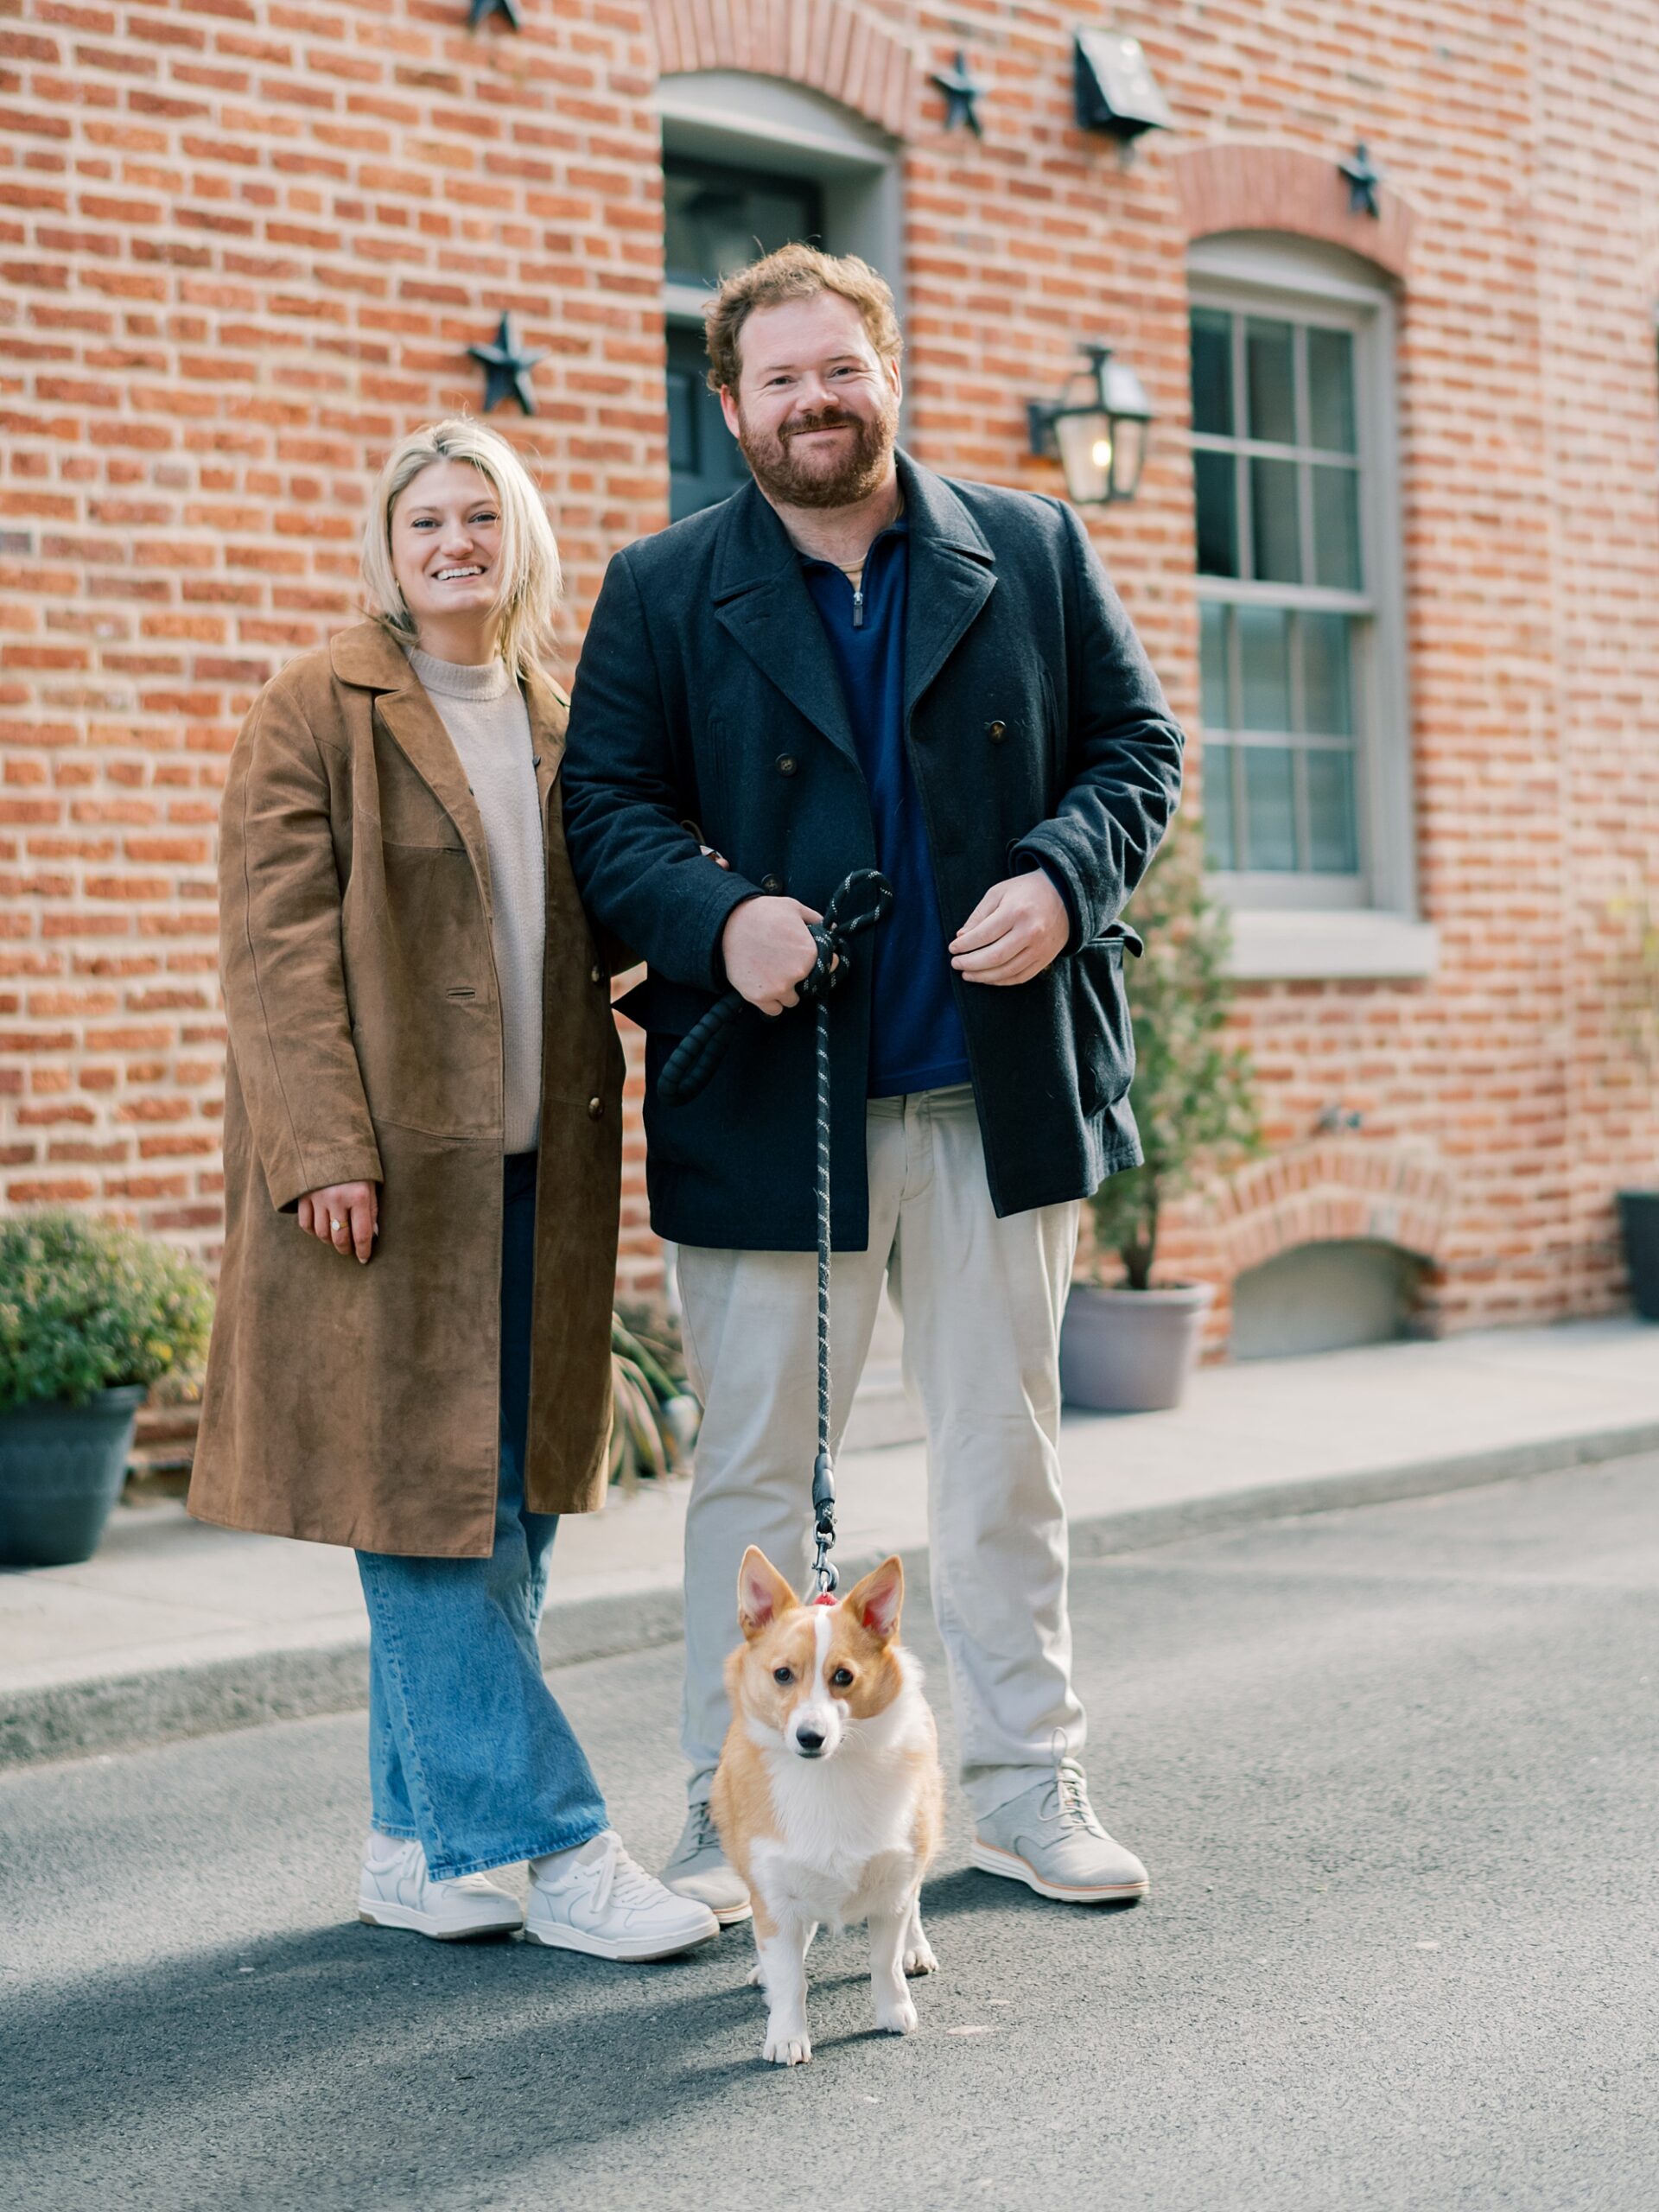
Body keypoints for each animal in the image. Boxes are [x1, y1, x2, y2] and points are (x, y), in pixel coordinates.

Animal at [712, 1548, 946, 2061]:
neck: (828, 1774)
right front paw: (786, 2035)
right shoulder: (774, 1895)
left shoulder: (893, 1887)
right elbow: (790, 1980)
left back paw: (916, 1948)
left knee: (917, 1900)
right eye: (782, 1675)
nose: (810, 1737)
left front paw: (895, 2011)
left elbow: (884, 1960)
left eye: (844, 1677)